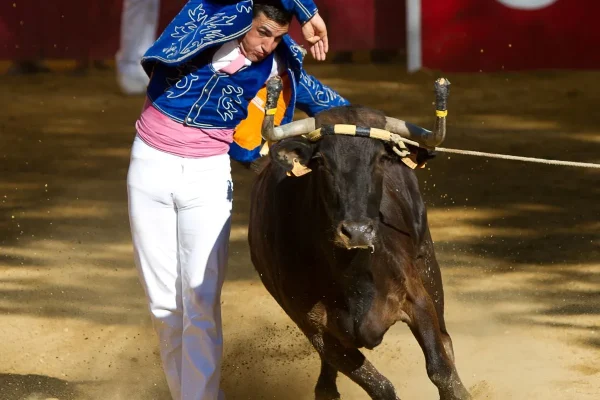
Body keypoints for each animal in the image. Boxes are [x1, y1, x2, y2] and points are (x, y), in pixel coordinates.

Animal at [246, 76, 472, 400]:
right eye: (322, 161)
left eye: (381, 159)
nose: (357, 232)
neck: (354, 271)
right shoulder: (314, 328)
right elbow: (378, 385)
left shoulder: (416, 296)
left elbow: (440, 370)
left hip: (428, 264)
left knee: (446, 340)